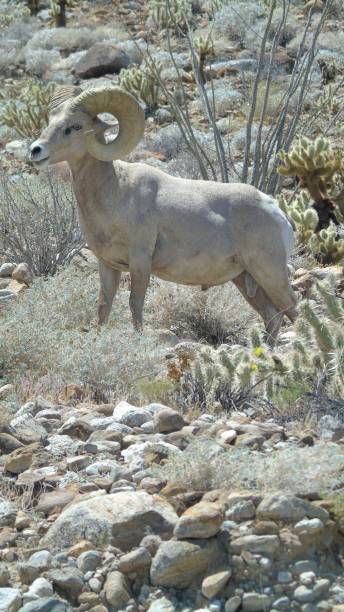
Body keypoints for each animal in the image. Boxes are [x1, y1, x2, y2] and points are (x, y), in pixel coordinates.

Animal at [30, 85, 298, 344]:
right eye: (50, 121)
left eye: (75, 126)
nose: (35, 150)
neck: (116, 191)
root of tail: (277, 212)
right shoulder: (107, 265)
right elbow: (103, 308)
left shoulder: (140, 261)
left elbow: (135, 305)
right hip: (246, 279)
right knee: (273, 317)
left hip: (270, 273)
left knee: (294, 310)